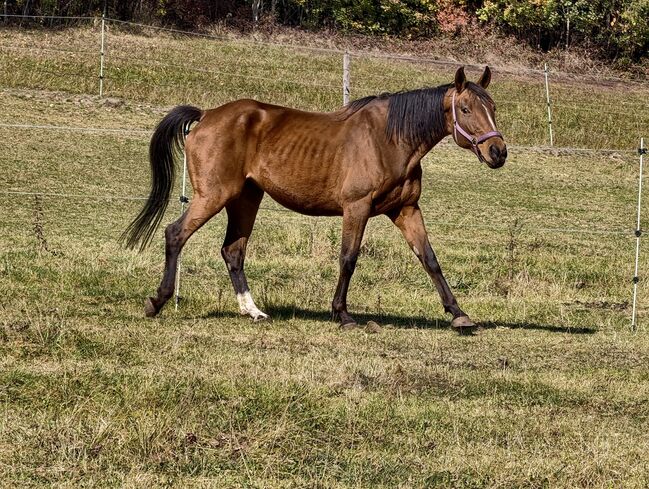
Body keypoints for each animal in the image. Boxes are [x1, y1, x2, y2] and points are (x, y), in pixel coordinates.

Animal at [122, 66, 507, 330]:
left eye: (493, 107)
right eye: (466, 109)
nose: (498, 152)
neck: (390, 139)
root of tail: (206, 116)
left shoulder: (406, 209)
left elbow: (430, 259)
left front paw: (458, 314)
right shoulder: (357, 208)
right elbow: (348, 259)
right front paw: (343, 314)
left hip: (245, 199)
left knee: (233, 251)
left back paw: (253, 311)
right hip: (213, 196)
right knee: (176, 234)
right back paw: (157, 301)